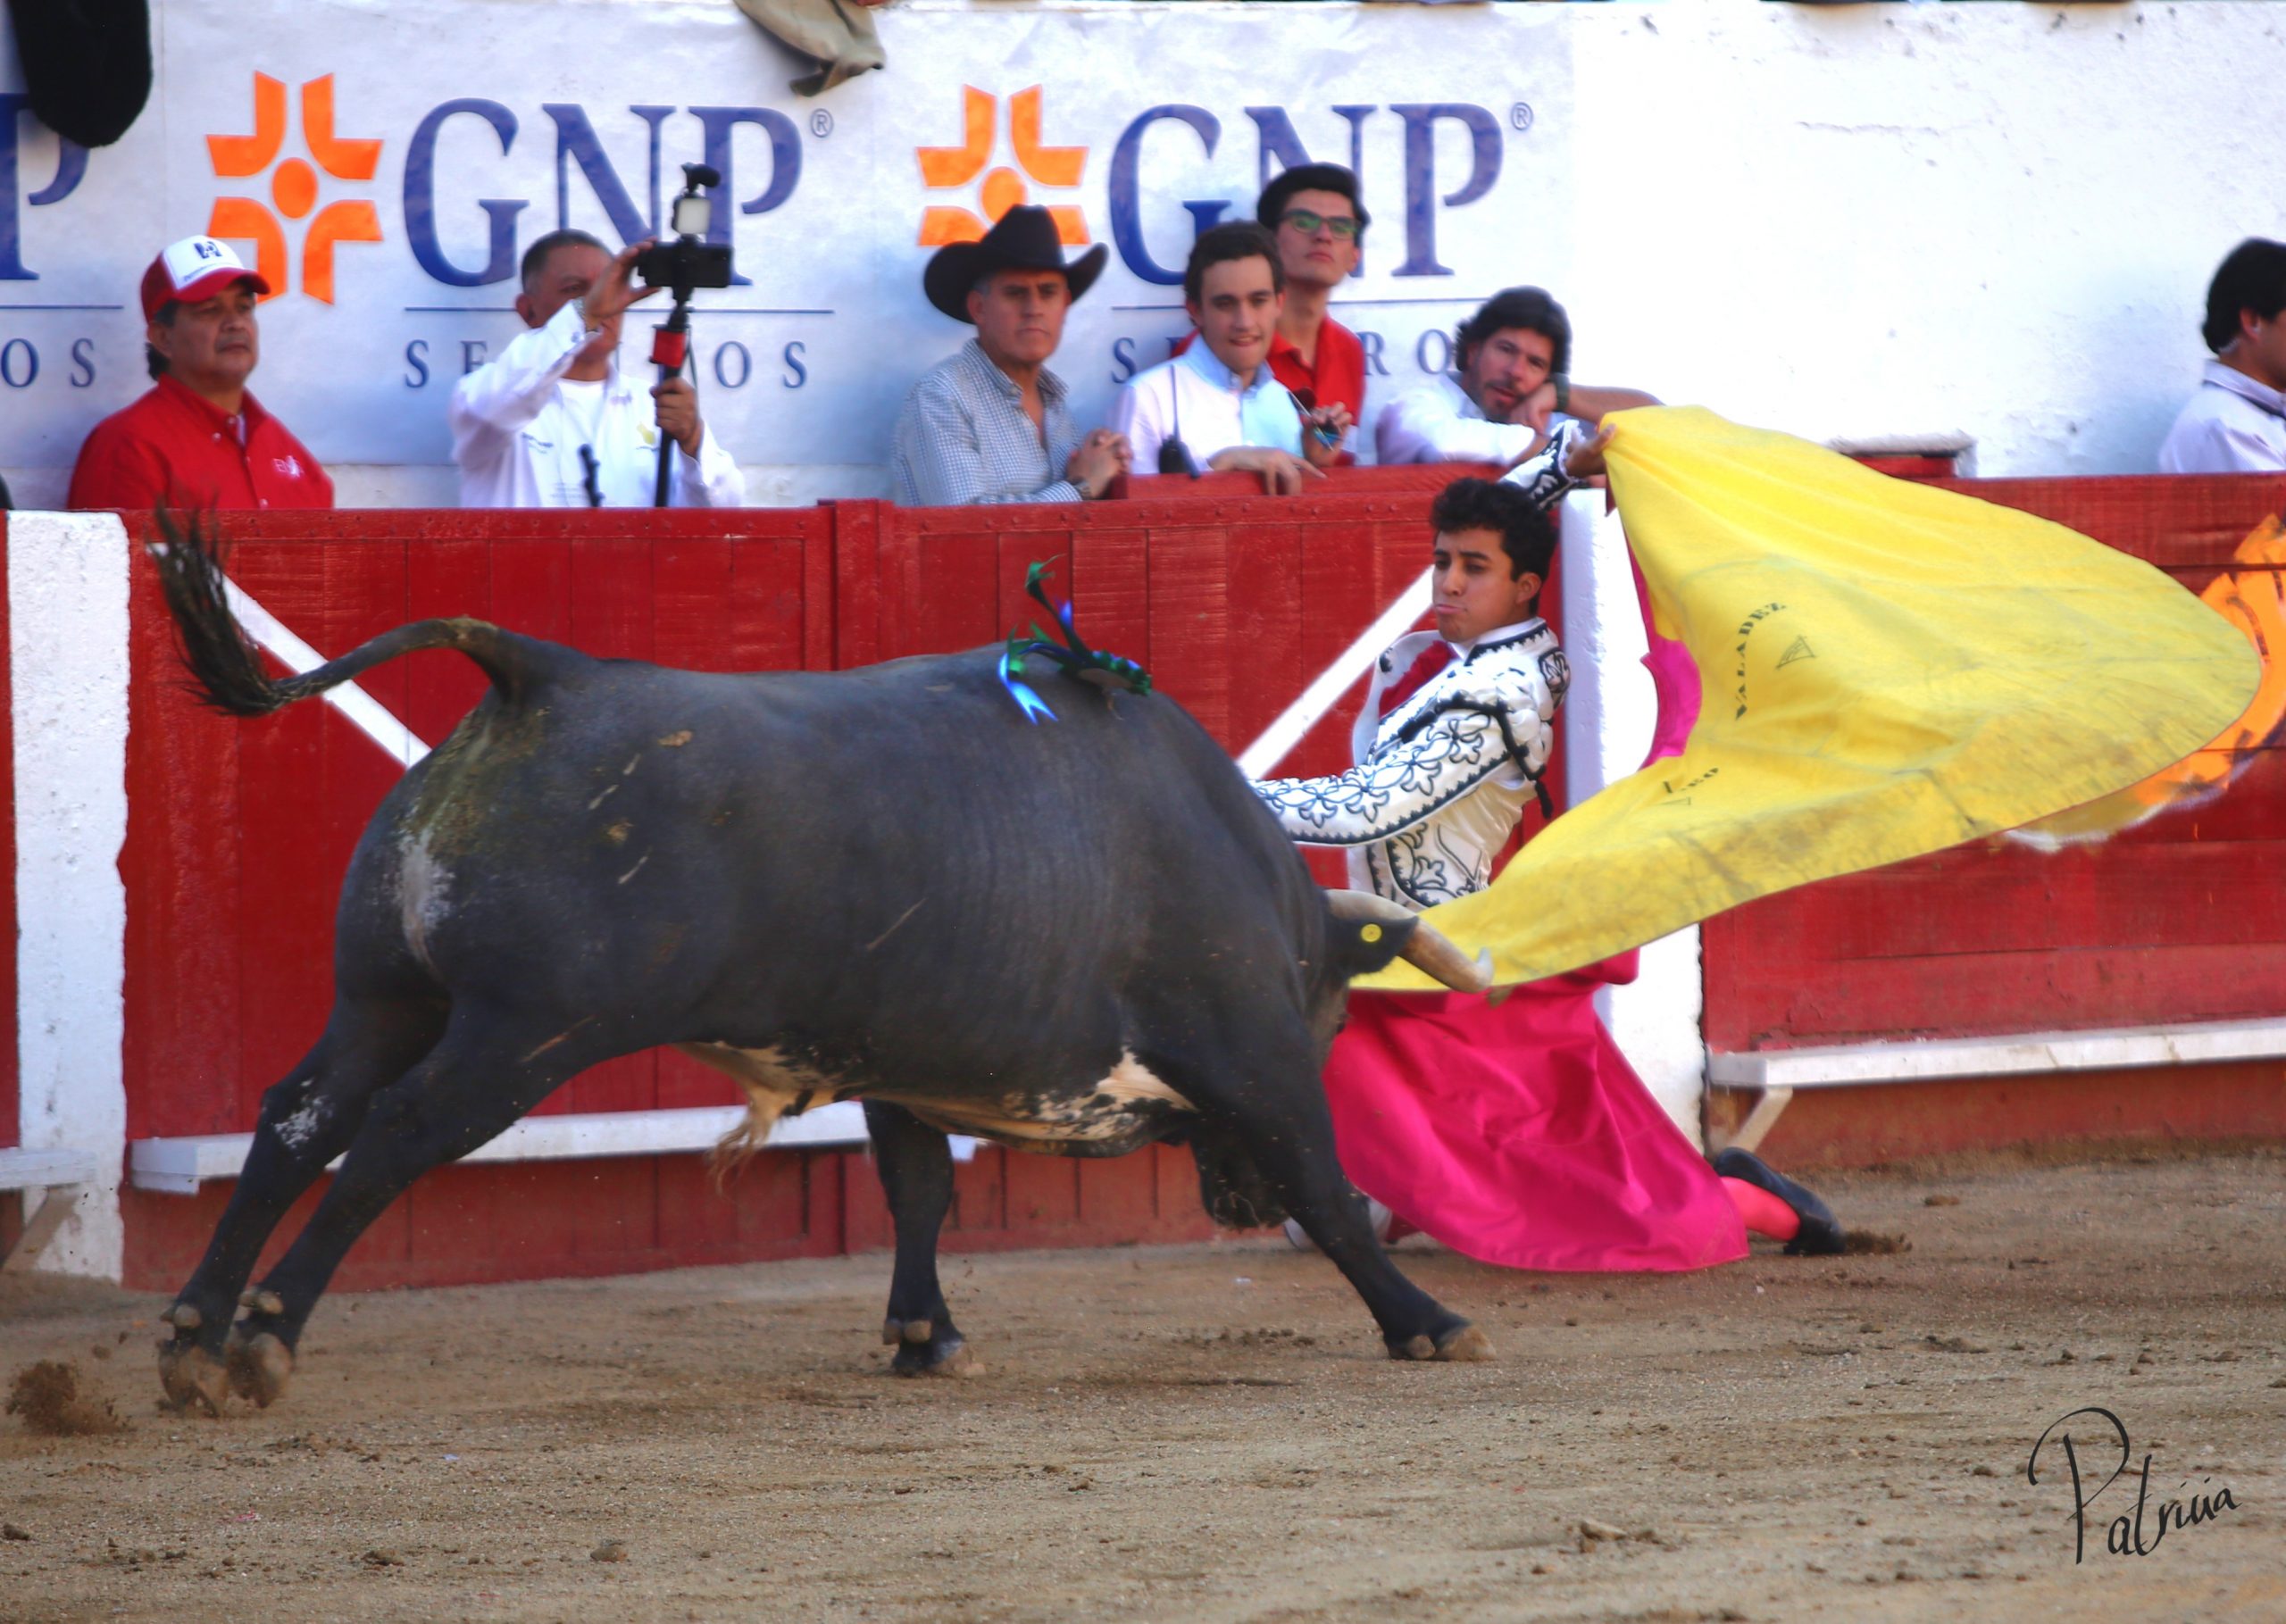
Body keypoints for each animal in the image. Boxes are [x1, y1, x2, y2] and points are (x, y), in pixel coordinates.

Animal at [145, 521, 1496, 1417]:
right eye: (1333, 1021)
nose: (1236, 1207)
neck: (1251, 874)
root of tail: (542, 672)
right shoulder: (1248, 1051)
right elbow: (1328, 1184)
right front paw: (1429, 1324)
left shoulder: (898, 1059)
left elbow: (916, 1188)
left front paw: (926, 1335)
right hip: (523, 1031)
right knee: (395, 1132)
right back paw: (265, 1336)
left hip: (386, 995)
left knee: (298, 1116)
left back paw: (195, 1335)